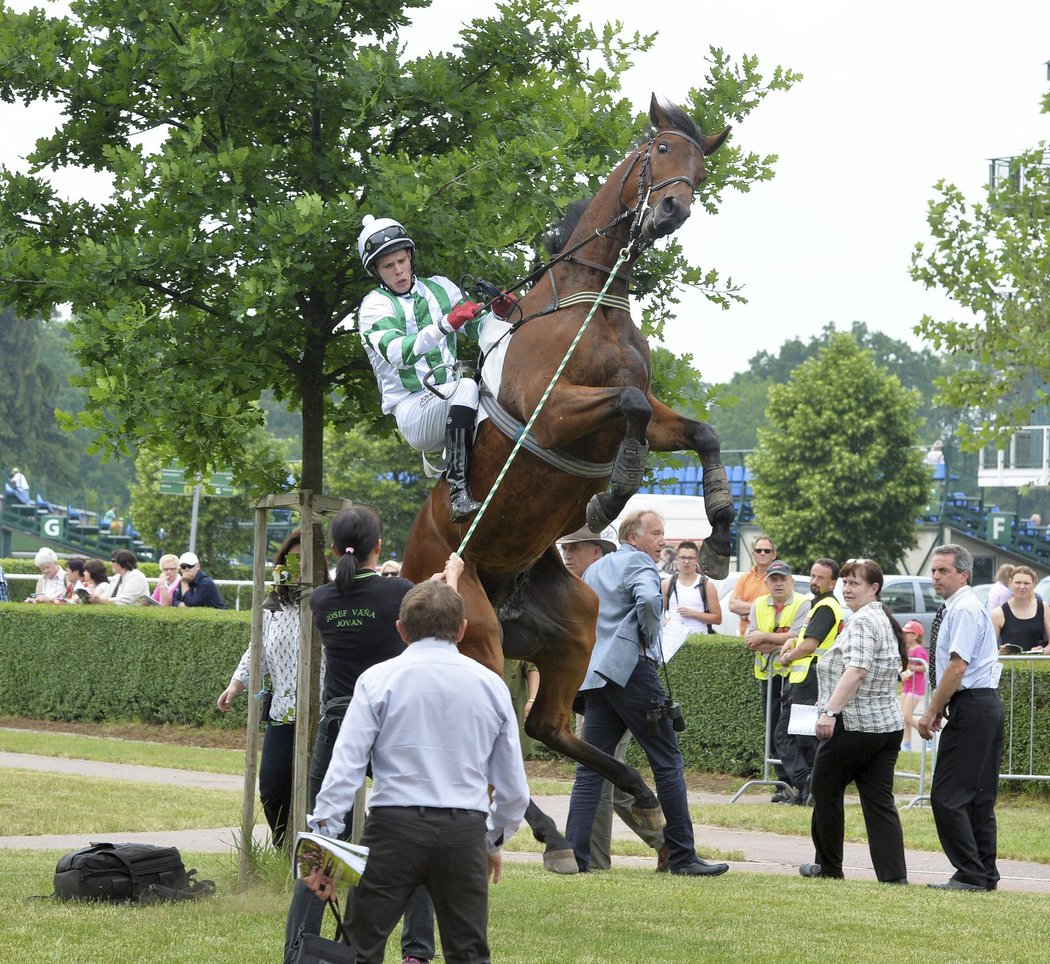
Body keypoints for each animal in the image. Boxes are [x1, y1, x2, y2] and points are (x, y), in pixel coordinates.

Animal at [398, 94, 730, 873]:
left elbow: (697, 430)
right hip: (476, 630)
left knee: (547, 724)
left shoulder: (648, 414)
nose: (671, 209)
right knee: (502, 726)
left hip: (572, 620)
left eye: (700, 167)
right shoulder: (555, 414)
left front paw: (722, 525)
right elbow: (630, 408)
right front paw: (615, 490)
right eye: (659, 151)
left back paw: (629, 802)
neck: (589, 304)